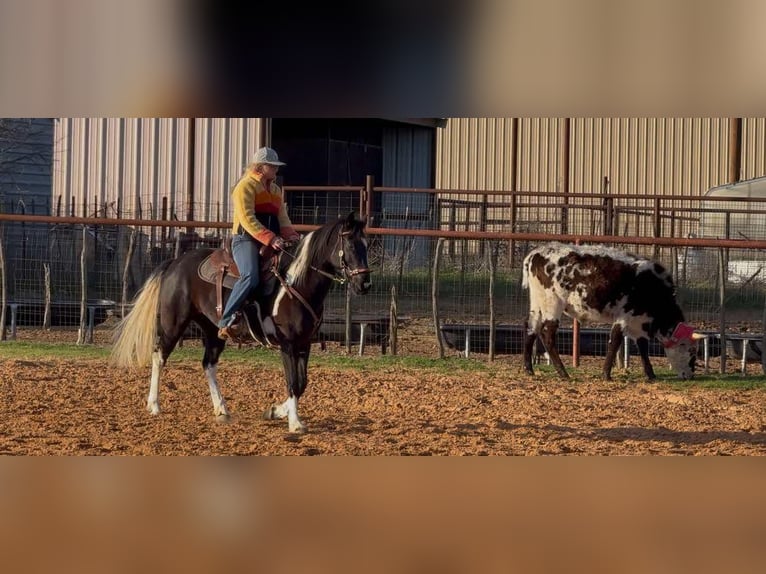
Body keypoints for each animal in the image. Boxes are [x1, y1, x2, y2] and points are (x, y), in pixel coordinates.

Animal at [110, 212, 372, 433]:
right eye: (350, 245)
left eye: (366, 245)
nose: (365, 285)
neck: (295, 284)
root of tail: (174, 264)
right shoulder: (287, 345)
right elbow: (293, 382)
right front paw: (295, 423)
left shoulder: (304, 344)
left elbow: (302, 383)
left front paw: (276, 411)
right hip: (173, 323)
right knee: (159, 356)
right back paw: (154, 405)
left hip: (213, 330)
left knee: (208, 364)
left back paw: (222, 410)